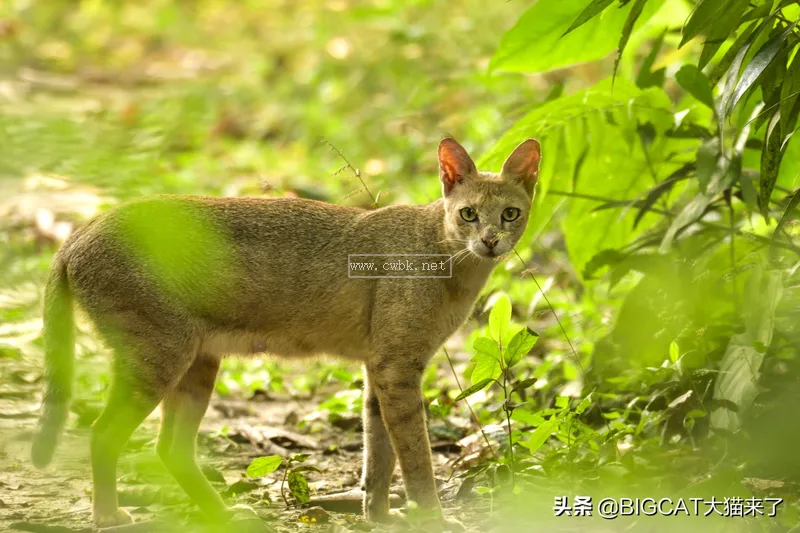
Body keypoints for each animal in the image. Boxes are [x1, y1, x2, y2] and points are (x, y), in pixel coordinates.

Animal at [34, 135, 540, 524]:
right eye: (469, 214)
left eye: (510, 214)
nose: (490, 240)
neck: (453, 264)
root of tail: (78, 233)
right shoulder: (397, 365)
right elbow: (414, 454)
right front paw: (431, 517)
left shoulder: (380, 366)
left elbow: (378, 451)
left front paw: (378, 516)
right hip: (158, 354)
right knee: (103, 433)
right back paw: (109, 516)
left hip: (196, 362)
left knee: (169, 448)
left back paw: (222, 515)